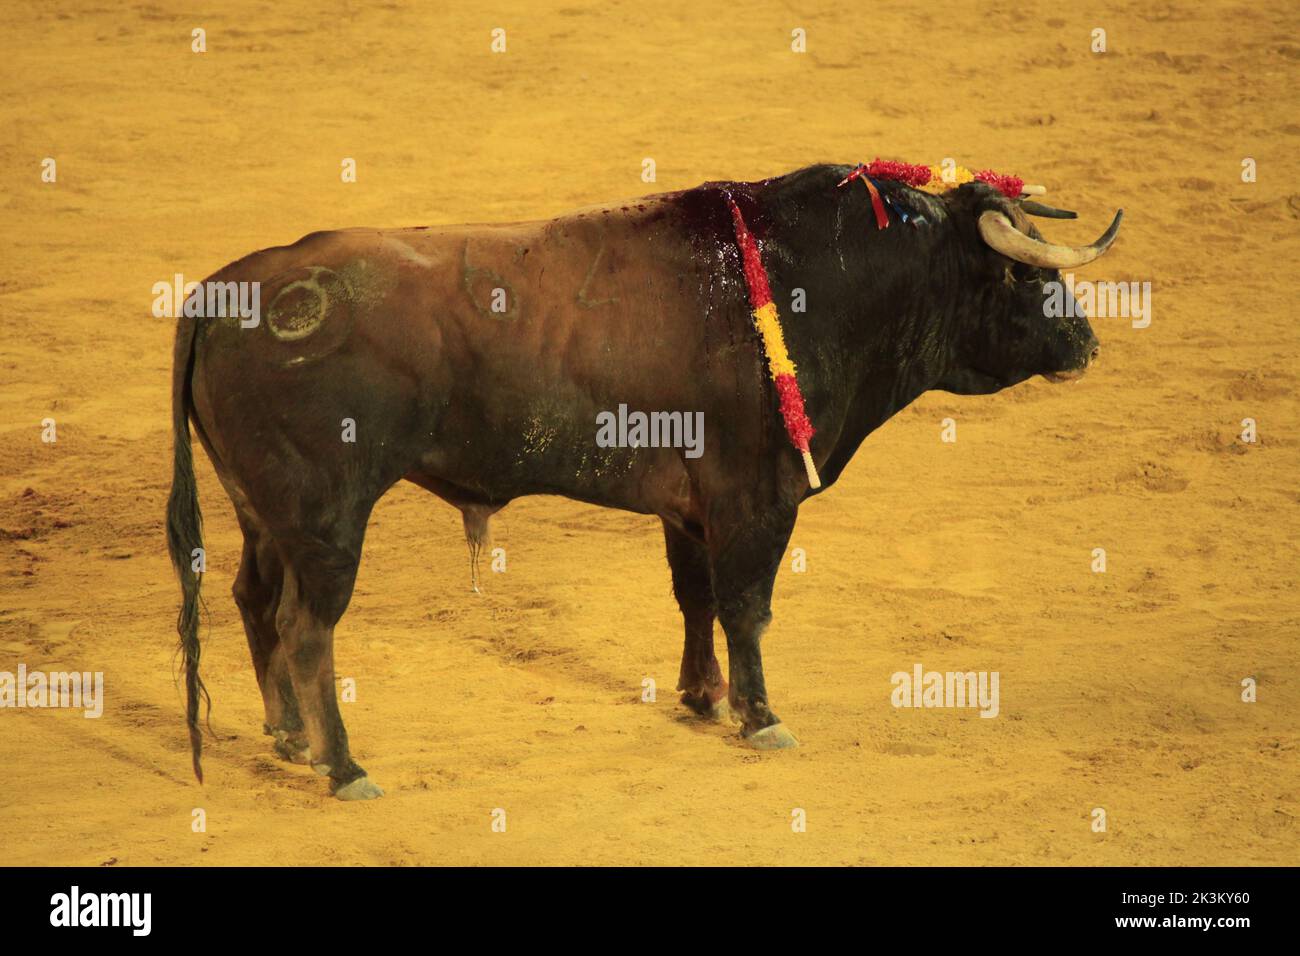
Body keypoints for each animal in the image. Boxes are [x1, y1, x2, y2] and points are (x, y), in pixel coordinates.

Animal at [165, 164, 1118, 801]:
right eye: (1024, 271)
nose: (1087, 344)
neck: (817, 282)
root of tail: (221, 291)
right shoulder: (755, 500)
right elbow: (747, 607)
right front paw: (762, 717)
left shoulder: (692, 508)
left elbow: (695, 598)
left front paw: (704, 696)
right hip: (327, 520)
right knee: (306, 628)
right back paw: (343, 765)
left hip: (265, 514)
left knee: (254, 600)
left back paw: (288, 736)